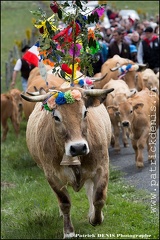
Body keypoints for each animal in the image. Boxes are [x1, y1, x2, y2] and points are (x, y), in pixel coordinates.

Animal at [21, 86, 114, 238]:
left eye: (85, 113)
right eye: (56, 117)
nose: (78, 147)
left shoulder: (102, 167)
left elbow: (99, 198)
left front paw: (96, 218)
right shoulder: (52, 175)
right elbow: (64, 202)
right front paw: (69, 232)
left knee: (90, 190)